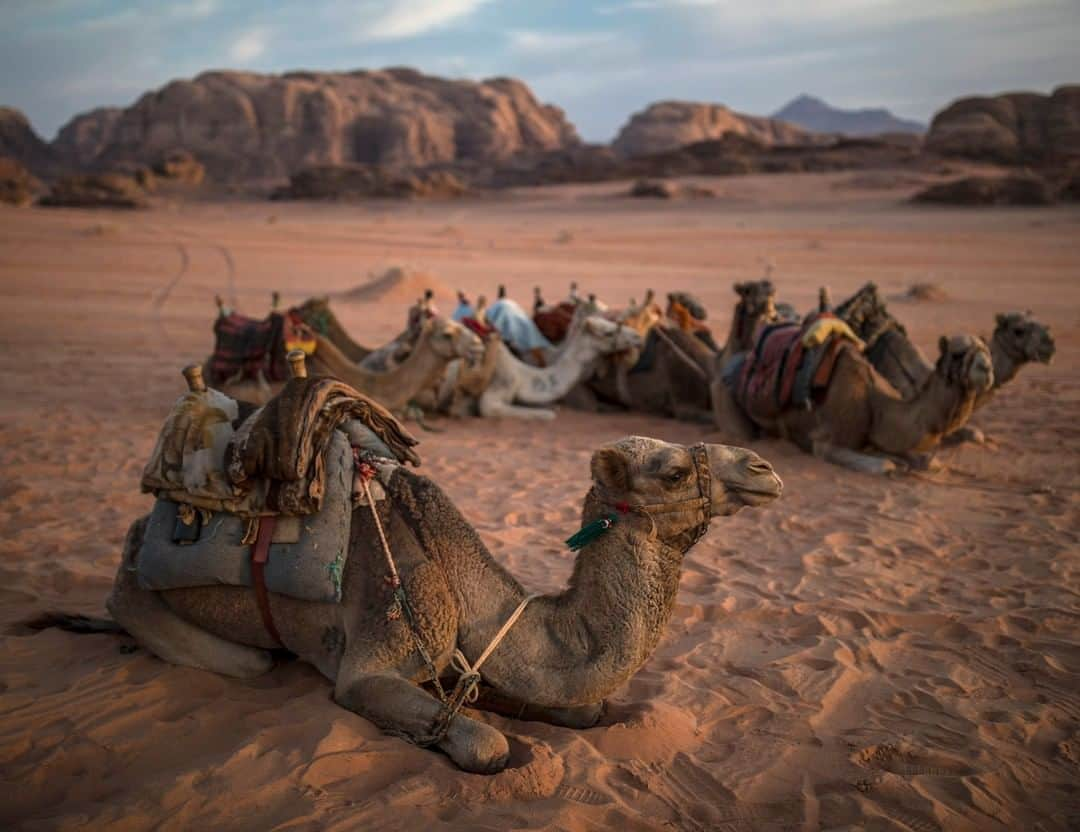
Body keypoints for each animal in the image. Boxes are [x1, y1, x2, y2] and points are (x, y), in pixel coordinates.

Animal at [44, 434, 786, 769]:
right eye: (675, 470)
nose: (765, 468)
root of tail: (135, 539)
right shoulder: (376, 658)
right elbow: (486, 743)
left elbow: (585, 708)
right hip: (152, 602)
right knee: (244, 661)